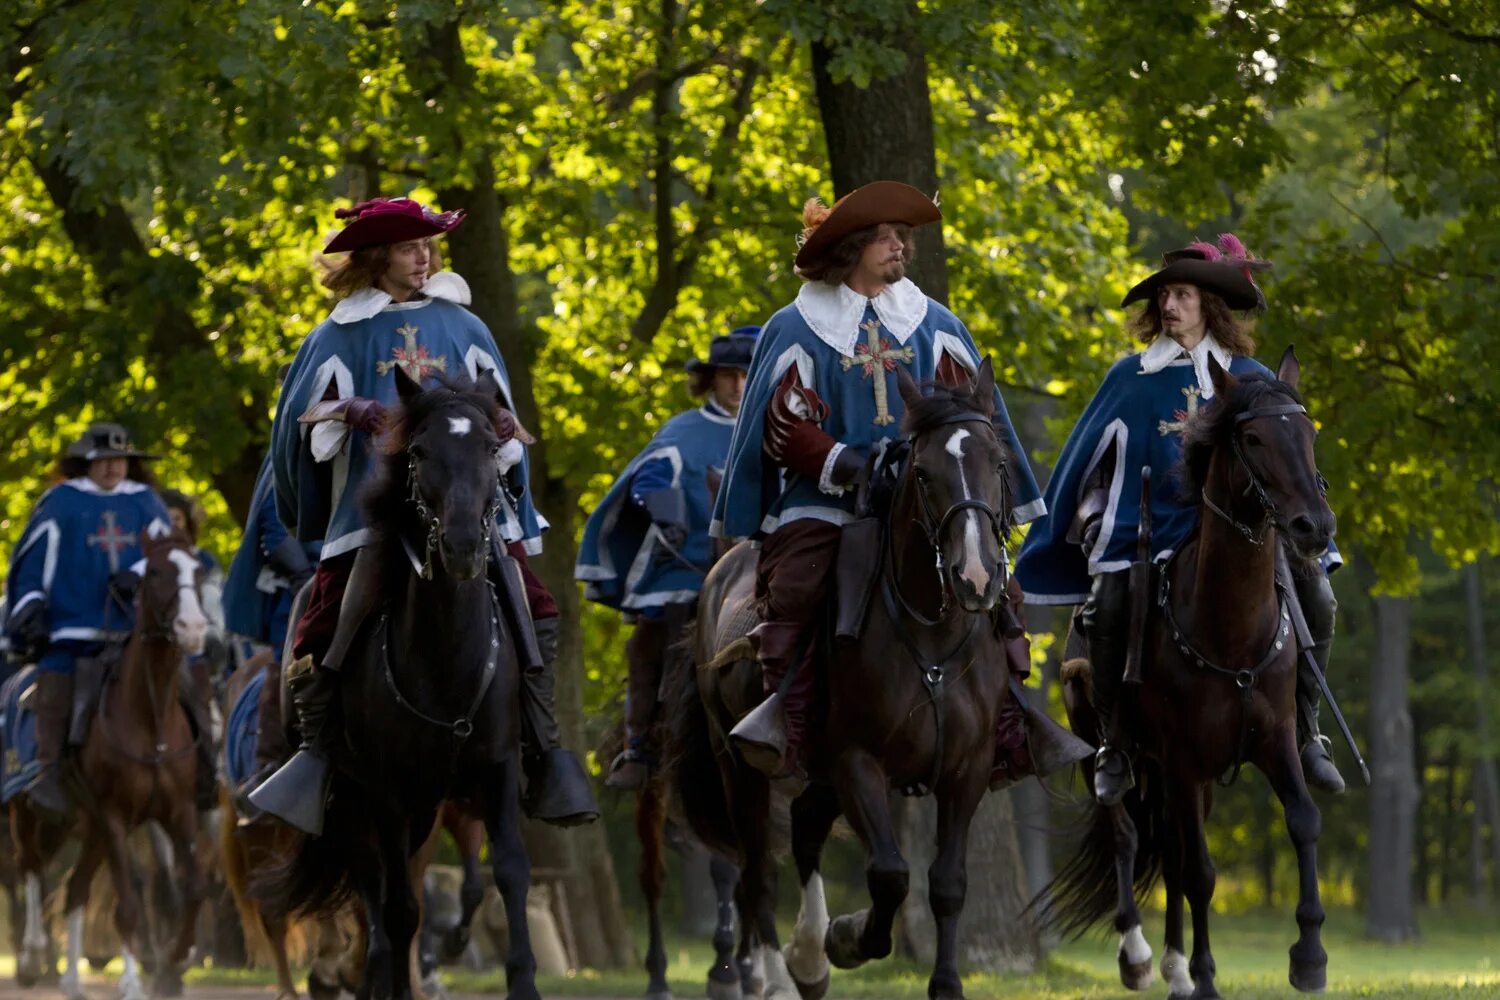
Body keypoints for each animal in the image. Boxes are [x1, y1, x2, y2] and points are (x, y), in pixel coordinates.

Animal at [256, 370, 540, 1000]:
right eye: (419, 452)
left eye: (491, 447)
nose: (462, 547)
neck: (445, 664)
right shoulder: (386, 791)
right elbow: (401, 908)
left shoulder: (497, 770)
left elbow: (510, 874)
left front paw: (523, 980)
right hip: (354, 803)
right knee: (376, 898)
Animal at [681, 364, 1020, 1000]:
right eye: (922, 471)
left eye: (999, 462)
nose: (977, 575)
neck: (930, 639)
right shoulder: (857, 760)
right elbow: (889, 875)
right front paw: (851, 938)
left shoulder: (967, 769)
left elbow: (947, 882)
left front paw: (944, 983)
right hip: (737, 762)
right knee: (758, 871)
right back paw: (779, 976)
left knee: (805, 827)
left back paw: (808, 958)